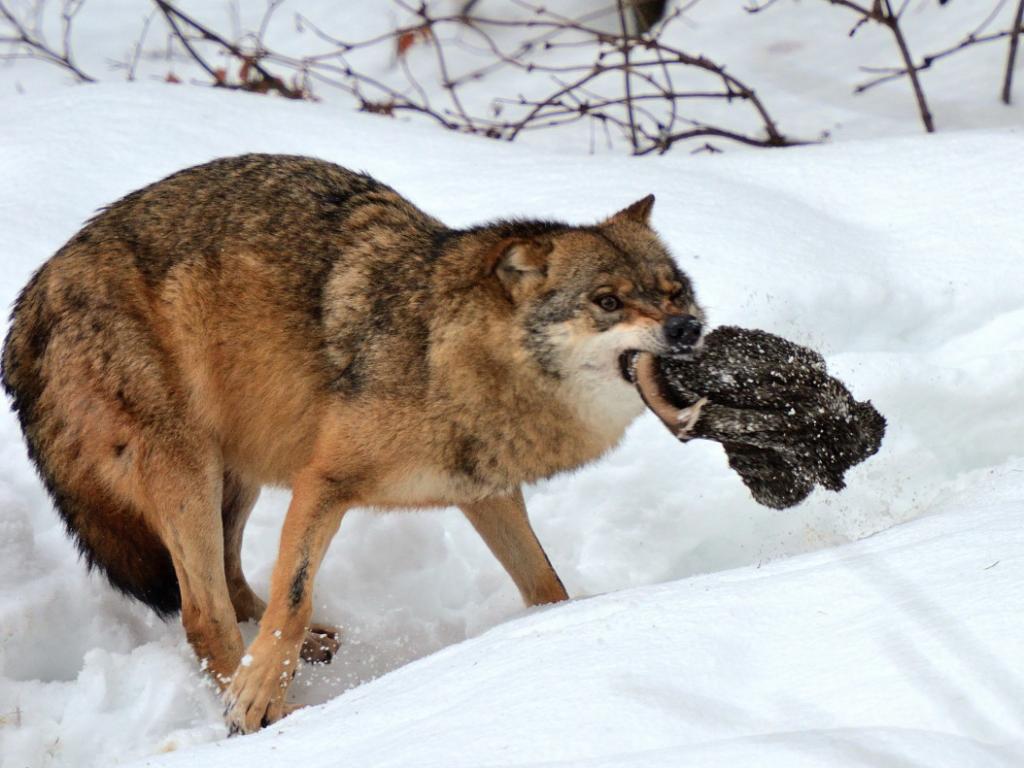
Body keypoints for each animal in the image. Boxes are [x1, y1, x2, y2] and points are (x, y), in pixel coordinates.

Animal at [1, 154, 704, 733]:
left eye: (675, 291)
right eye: (608, 301)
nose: (688, 328)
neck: (446, 356)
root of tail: (31, 298)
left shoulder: (487, 494)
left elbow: (546, 585)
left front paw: (559, 632)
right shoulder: (324, 483)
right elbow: (294, 593)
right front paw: (257, 700)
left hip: (238, 471)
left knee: (228, 579)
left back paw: (304, 649)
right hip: (189, 466)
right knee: (201, 612)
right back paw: (268, 706)